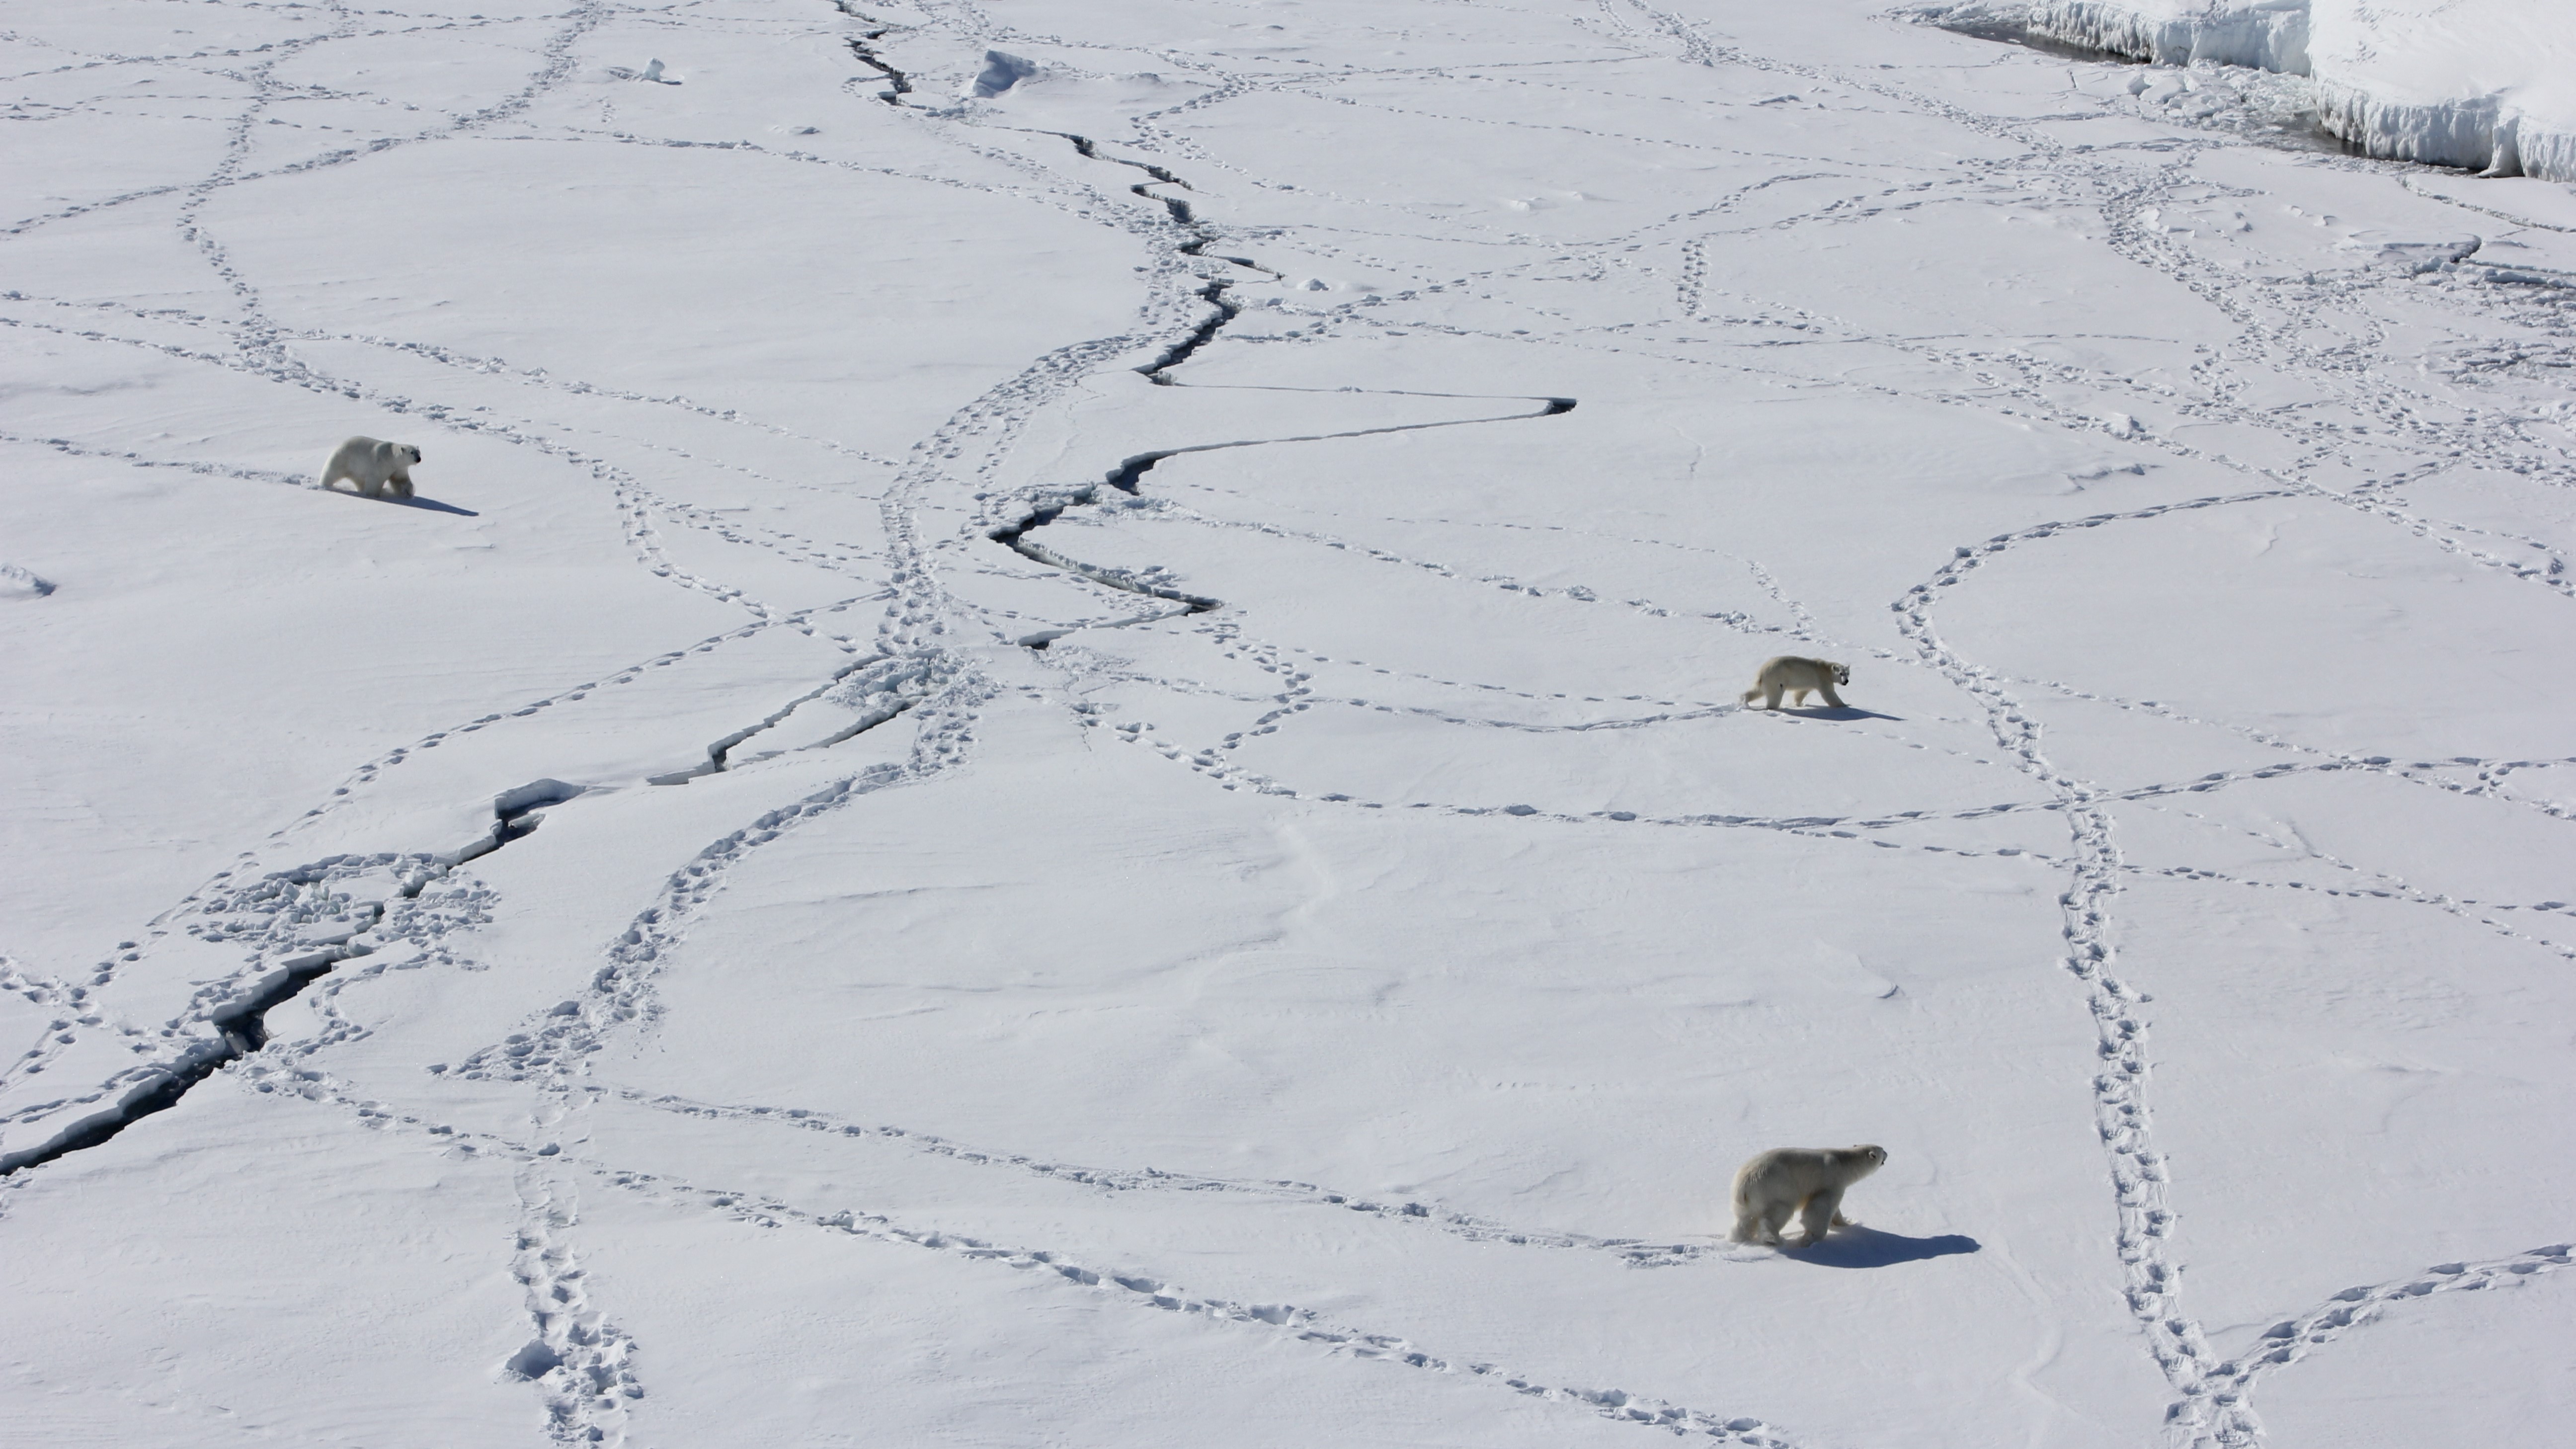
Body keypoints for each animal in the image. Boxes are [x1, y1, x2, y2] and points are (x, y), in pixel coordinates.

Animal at [321, 430, 425, 500]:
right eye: (412, 452)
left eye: (419, 452)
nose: (418, 459)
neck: (391, 456)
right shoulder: (382, 464)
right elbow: (376, 480)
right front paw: (373, 495)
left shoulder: (399, 468)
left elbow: (400, 480)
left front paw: (408, 492)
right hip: (342, 460)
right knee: (331, 473)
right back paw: (324, 485)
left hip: (356, 470)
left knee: (359, 481)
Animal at [1731, 1139, 1896, 1242]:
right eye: (1882, 1150)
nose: (1888, 1153)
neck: (1843, 1162)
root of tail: (1743, 1186)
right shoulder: (1832, 1181)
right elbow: (1821, 1207)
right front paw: (1813, 1236)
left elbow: (1836, 1211)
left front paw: (1846, 1223)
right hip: (1775, 1188)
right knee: (1779, 1211)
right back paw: (1772, 1239)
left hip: (1749, 1199)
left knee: (1745, 1219)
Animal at [1741, 657, 1844, 706]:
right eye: (1841, 673)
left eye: (1847, 673)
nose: (1846, 681)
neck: (1826, 668)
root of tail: (1761, 672)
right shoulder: (1823, 679)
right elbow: (1829, 694)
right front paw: (1843, 705)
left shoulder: (1809, 683)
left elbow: (1801, 693)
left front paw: (1798, 703)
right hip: (1776, 678)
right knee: (1775, 696)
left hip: (1765, 682)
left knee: (1757, 691)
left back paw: (1744, 701)